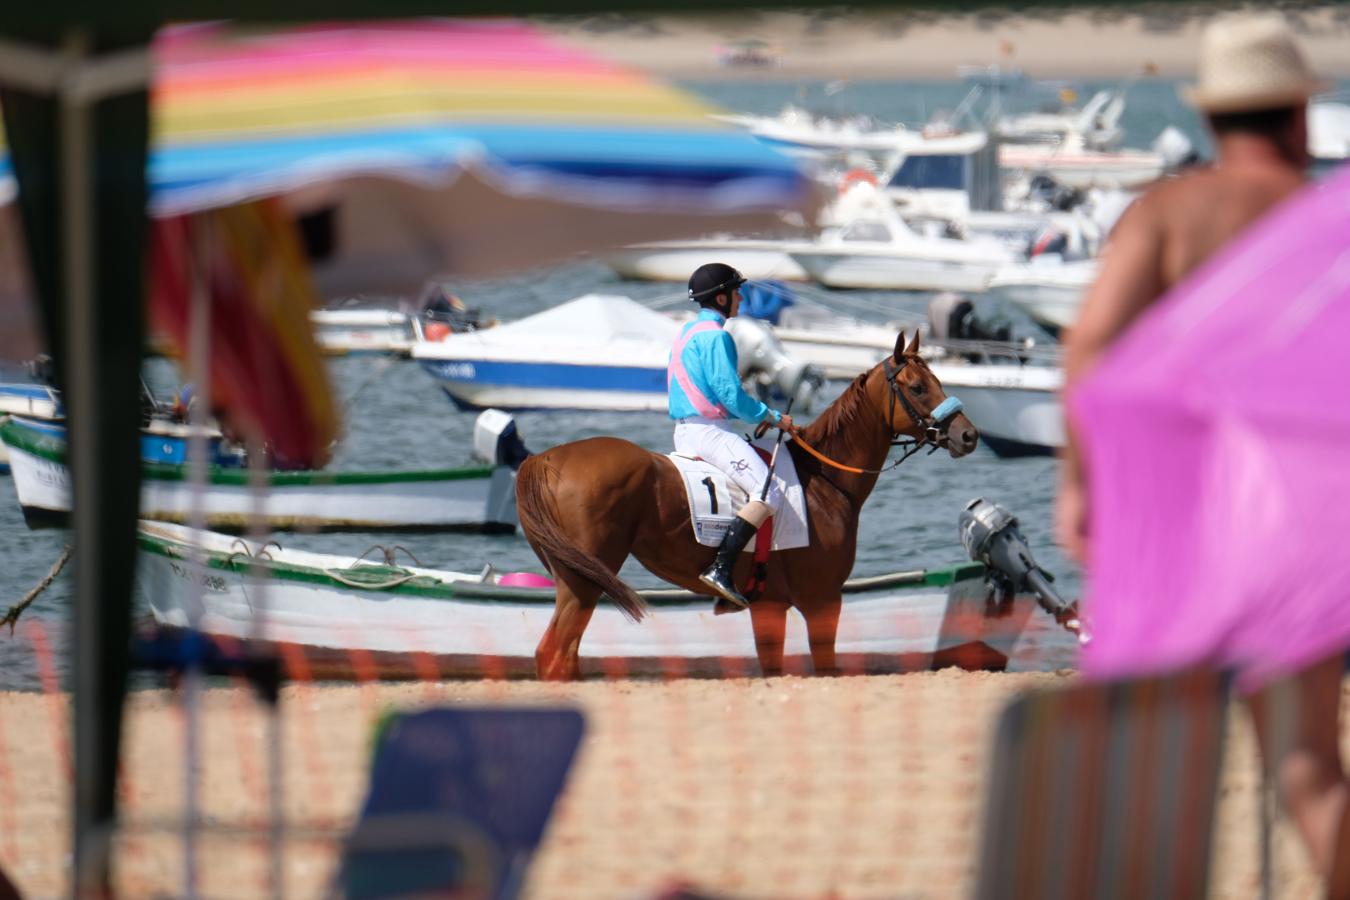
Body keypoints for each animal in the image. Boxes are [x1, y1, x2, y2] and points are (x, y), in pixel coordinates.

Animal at [510, 334, 977, 680]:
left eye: (937, 380)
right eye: (918, 387)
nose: (968, 435)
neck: (823, 481)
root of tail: (544, 460)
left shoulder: (769, 606)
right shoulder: (823, 601)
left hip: (573, 581)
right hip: (584, 584)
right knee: (553, 654)